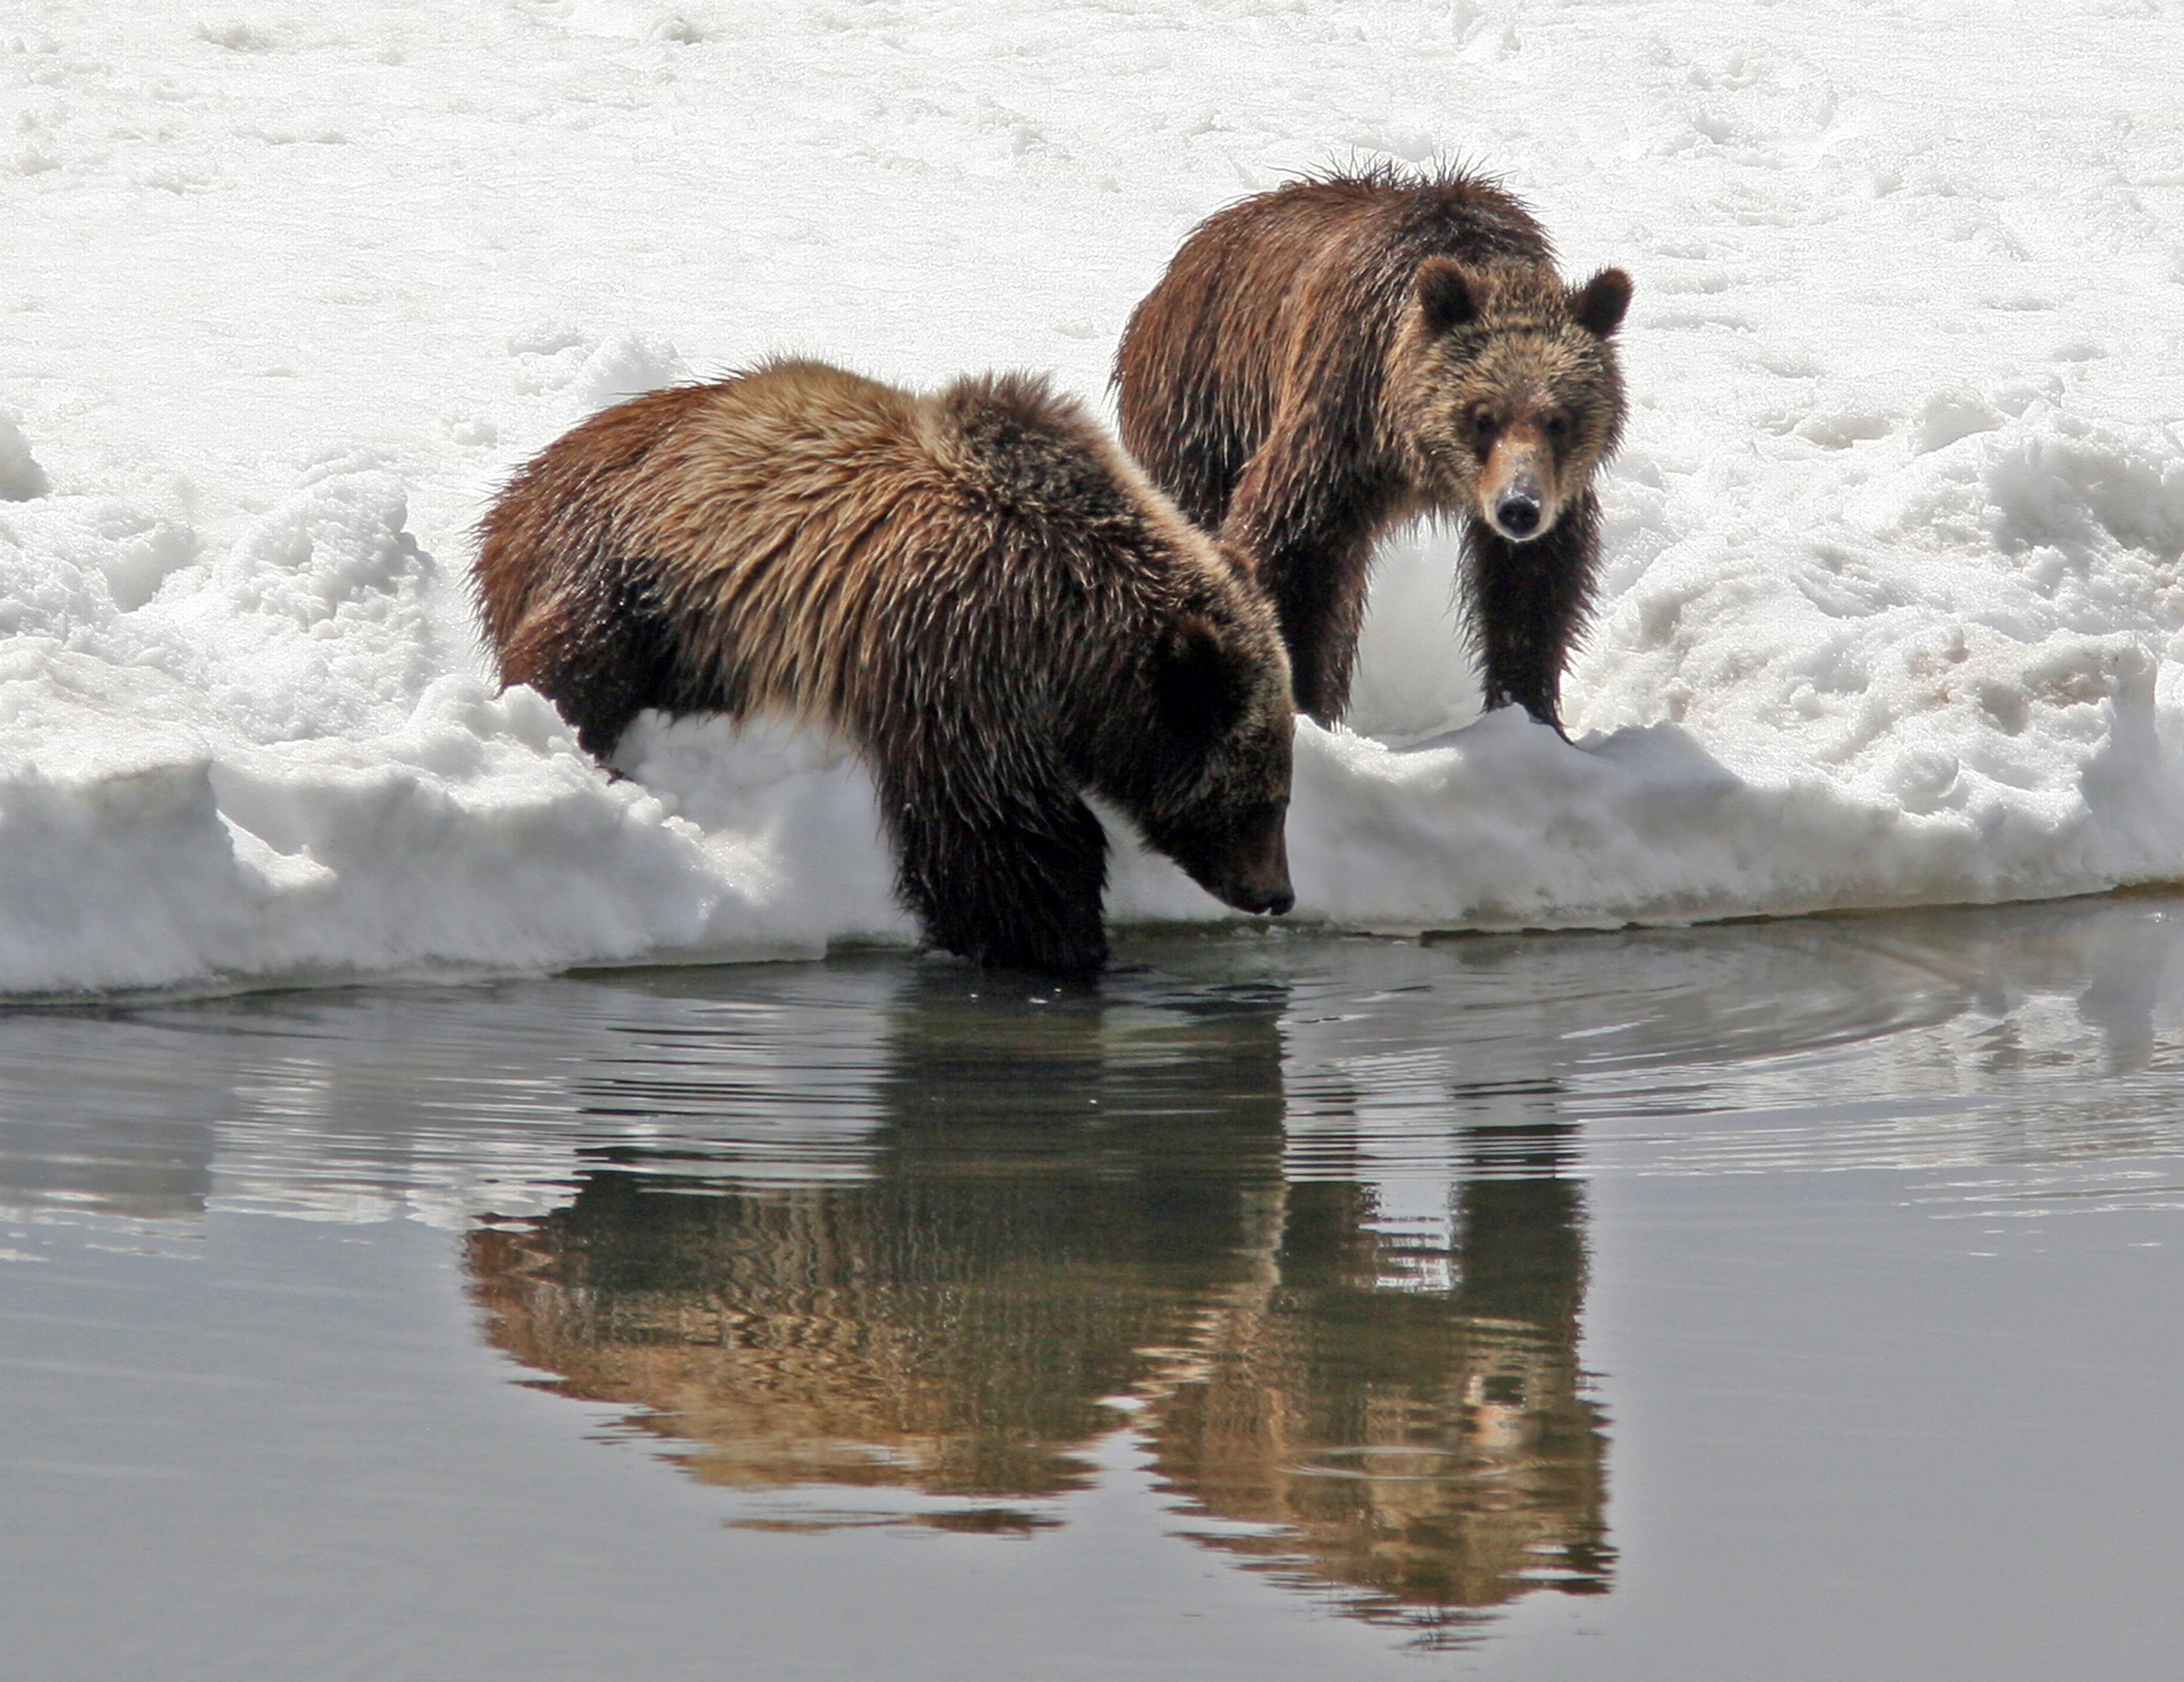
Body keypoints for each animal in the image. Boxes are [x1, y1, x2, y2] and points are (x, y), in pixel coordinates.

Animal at [474, 360, 1293, 978]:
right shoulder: (958, 654)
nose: (1277, 893)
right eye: (1264, 798)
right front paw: (1061, 943)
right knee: (581, 658)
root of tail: (519, 486)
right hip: (638, 562)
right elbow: (996, 830)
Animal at [1118, 162, 1633, 725]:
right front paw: (1301, 701)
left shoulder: (1554, 489)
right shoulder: (1343, 417)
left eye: (1559, 420)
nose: (1519, 507)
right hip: (1202, 404)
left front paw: (1527, 710)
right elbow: (1293, 549)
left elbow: (1532, 586)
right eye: (1482, 417)